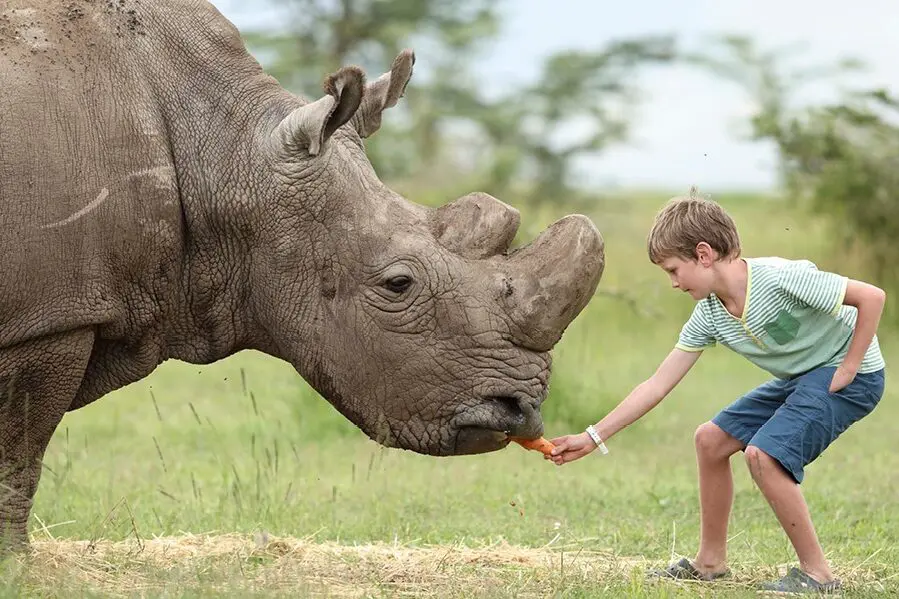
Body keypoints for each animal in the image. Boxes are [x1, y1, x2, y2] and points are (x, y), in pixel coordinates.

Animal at [0, 0, 604, 550]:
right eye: (398, 285)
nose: (521, 411)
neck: (222, 149)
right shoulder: (50, 316)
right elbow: (19, 453)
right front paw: (18, 565)